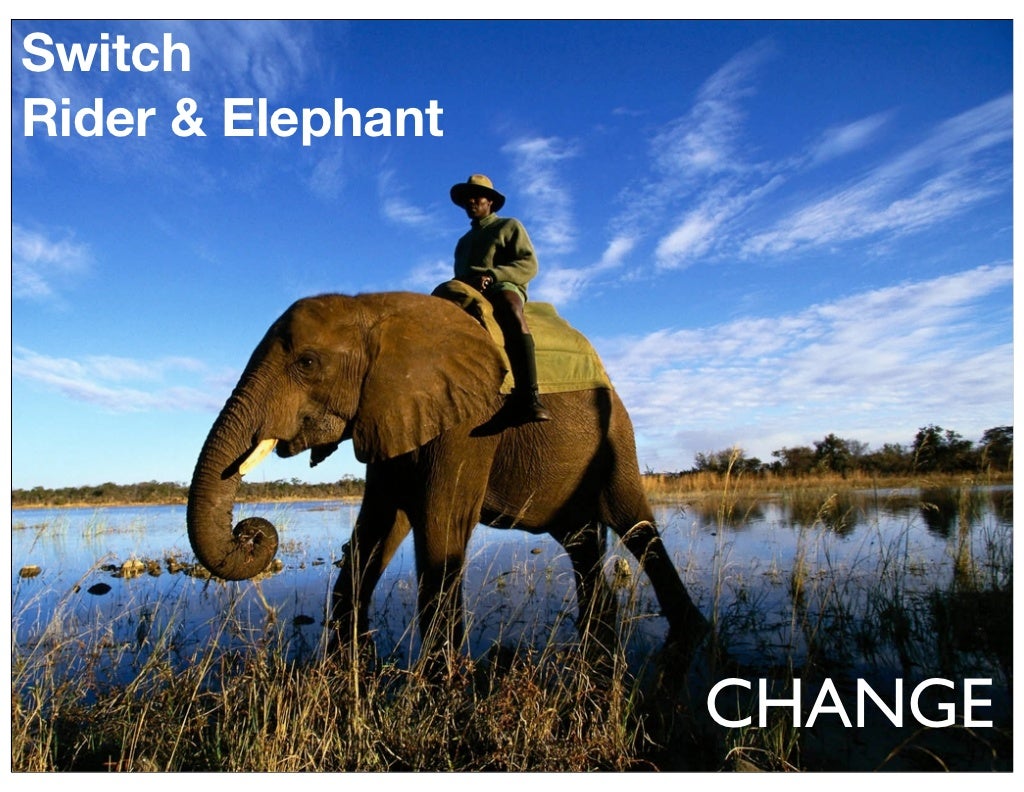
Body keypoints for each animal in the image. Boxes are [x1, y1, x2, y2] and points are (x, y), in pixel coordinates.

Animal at [186, 289, 707, 664]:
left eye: (307, 363)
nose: (249, 531)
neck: (375, 308)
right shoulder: (390, 413)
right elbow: (376, 529)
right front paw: (348, 655)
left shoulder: (471, 423)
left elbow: (440, 523)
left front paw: (441, 678)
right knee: (581, 539)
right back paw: (598, 632)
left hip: (617, 438)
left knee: (636, 526)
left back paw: (689, 632)